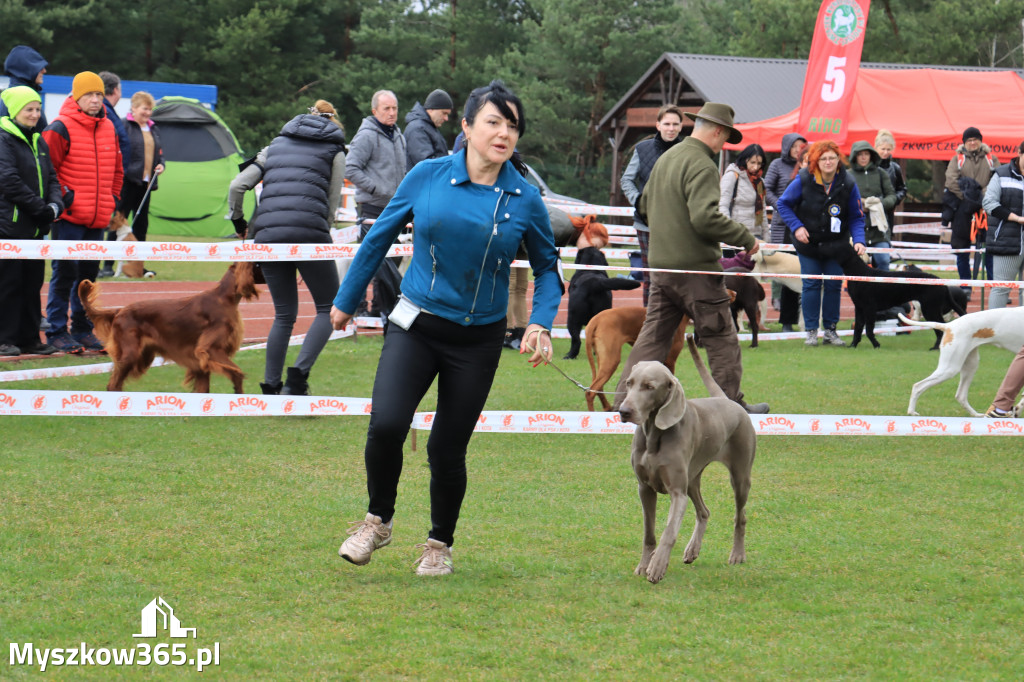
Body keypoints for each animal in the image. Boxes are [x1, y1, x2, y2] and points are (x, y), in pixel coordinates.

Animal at [79, 259, 260, 387]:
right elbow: (238, 373)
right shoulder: (209, 349)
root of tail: (119, 311)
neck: (224, 298)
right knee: (112, 385)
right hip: (130, 354)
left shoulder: (201, 362)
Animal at [610, 337, 757, 581]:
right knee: (704, 511)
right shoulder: (644, 488)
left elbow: (669, 531)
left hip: (740, 476)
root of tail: (726, 400)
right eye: (629, 383)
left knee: (740, 516)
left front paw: (657, 565)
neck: (654, 436)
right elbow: (649, 533)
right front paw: (644, 564)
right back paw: (692, 550)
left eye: (649, 387)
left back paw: (737, 554)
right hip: (693, 478)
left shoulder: (677, 493)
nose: (624, 411)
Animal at [831, 241, 966, 348]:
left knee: (940, 327)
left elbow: (869, 330)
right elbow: (858, 328)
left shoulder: (869, 308)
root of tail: (941, 282)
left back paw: (936, 347)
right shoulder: (859, 308)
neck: (859, 273)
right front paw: (853, 345)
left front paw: (876, 345)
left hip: (930, 309)